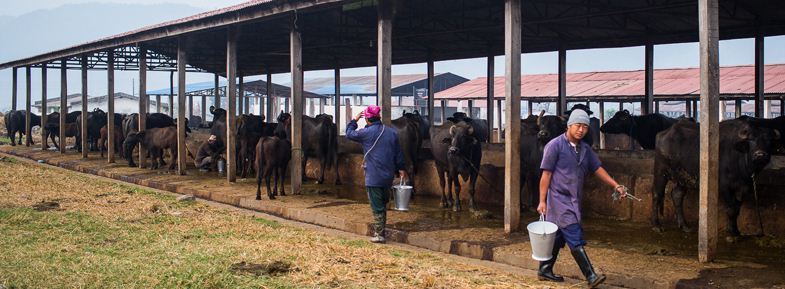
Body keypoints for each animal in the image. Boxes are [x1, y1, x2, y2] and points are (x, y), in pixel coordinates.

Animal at [648, 117, 776, 236]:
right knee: (657, 194)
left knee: (677, 195)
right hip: (661, 171)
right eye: (751, 140)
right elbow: (731, 208)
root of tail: (664, 133)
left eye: (769, 141)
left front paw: (735, 231)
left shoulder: (744, 187)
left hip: (683, 176)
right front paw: (731, 233)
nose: (760, 154)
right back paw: (656, 225)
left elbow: (737, 208)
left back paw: (684, 225)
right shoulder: (724, 186)